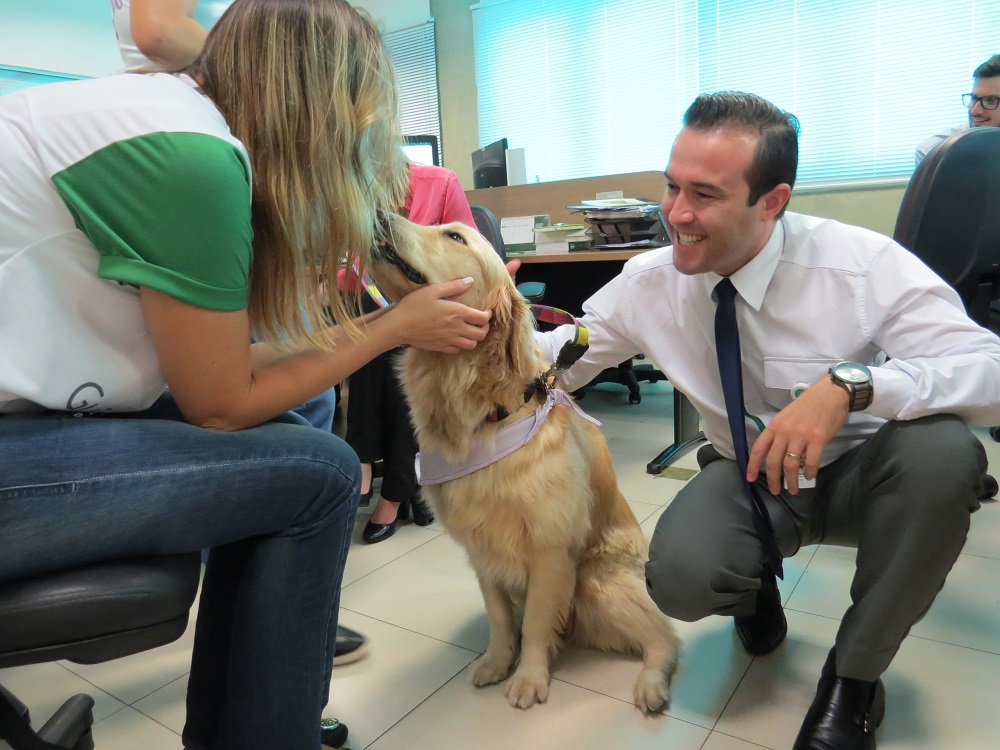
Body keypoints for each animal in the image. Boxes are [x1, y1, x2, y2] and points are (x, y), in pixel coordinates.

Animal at [368, 214, 680, 712]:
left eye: (454, 236)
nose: (381, 213)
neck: (482, 413)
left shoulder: (549, 551)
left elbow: (534, 622)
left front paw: (529, 677)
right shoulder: (482, 551)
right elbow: (499, 617)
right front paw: (498, 661)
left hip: (597, 581)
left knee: (664, 637)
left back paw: (651, 684)